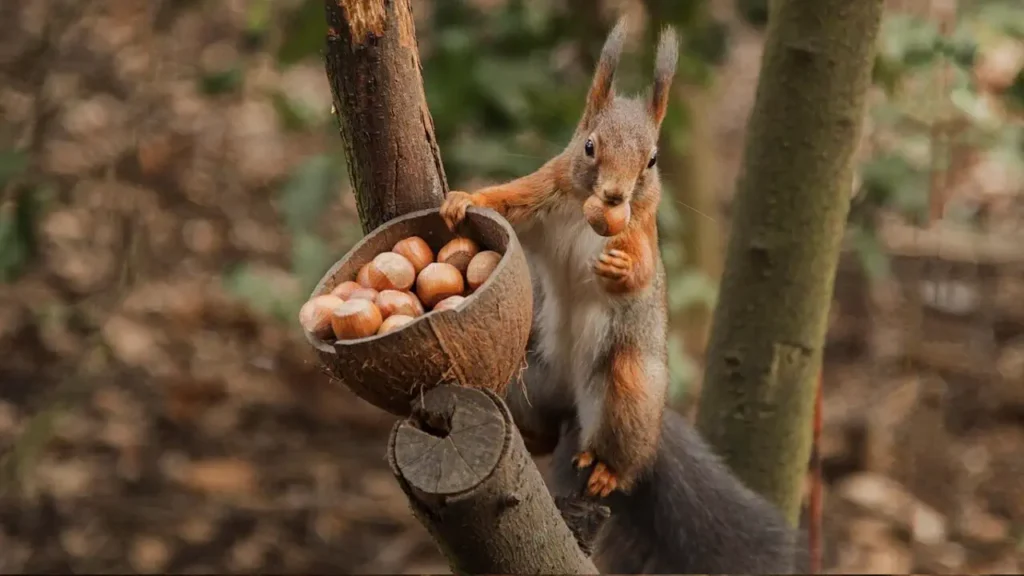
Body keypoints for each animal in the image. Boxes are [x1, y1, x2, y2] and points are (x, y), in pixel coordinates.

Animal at [441, 16, 802, 573]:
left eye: (652, 160)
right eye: (589, 146)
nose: (614, 195)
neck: (586, 212)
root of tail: (569, 397)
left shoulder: (642, 229)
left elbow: (643, 272)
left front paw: (620, 268)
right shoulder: (543, 192)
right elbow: (506, 202)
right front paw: (463, 199)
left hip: (626, 386)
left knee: (625, 452)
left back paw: (608, 468)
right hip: (528, 380)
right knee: (545, 428)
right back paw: (534, 434)